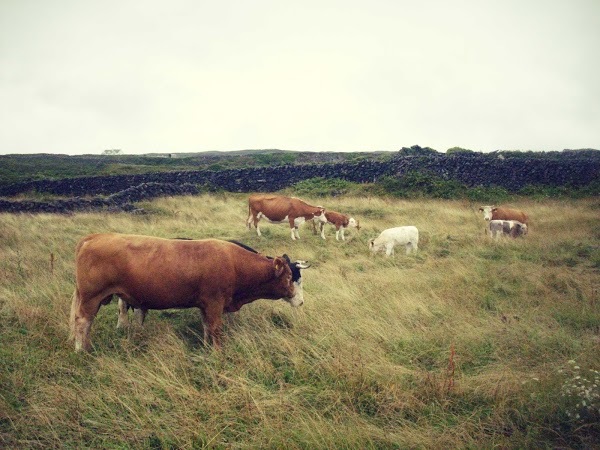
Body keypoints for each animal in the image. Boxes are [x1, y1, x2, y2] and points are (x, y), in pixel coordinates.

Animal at [70, 234, 310, 354]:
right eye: (291, 277)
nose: (301, 302)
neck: (235, 264)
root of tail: (94, 238)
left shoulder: (205, 305)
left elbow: (206, 327)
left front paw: (205, 346)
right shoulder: (214, 303)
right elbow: (216, 329)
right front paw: (217, 352)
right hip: (91, 297)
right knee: (83, 322)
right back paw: (82, 350)